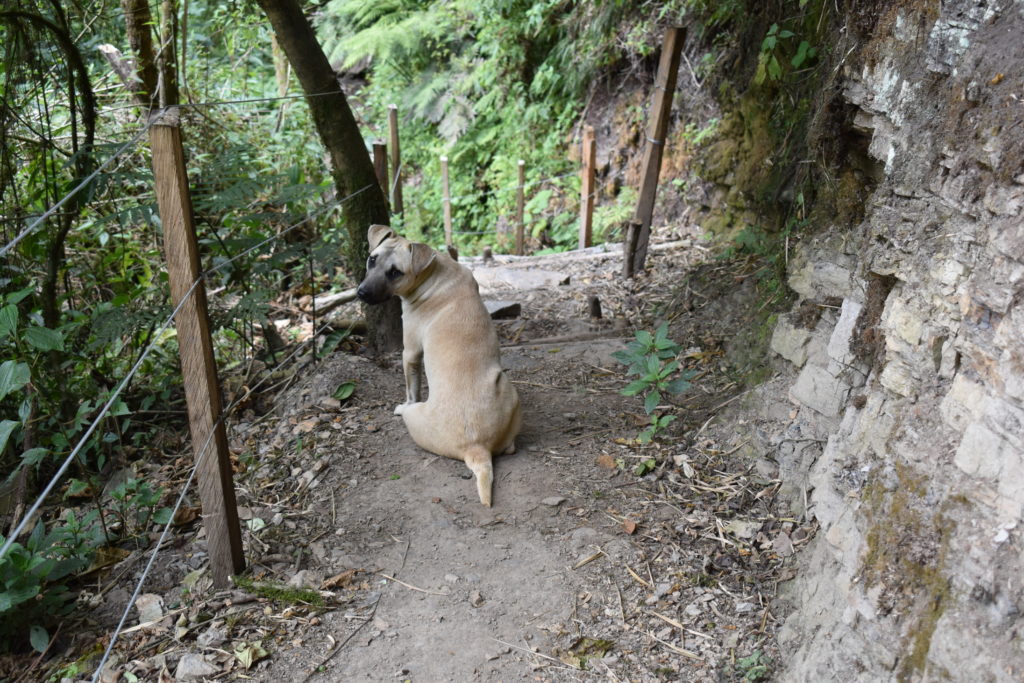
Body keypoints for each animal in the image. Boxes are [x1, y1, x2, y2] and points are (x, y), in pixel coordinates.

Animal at [358, 225, 520, 507]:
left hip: (415, 418)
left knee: (410, 408)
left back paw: (402, 410)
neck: (434, 275)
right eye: (372, 259)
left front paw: (404, 399)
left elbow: (411, 388)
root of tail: (476, 447)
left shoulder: (410, 352)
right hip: (511, 390)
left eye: (395, 272)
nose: (362, 293)